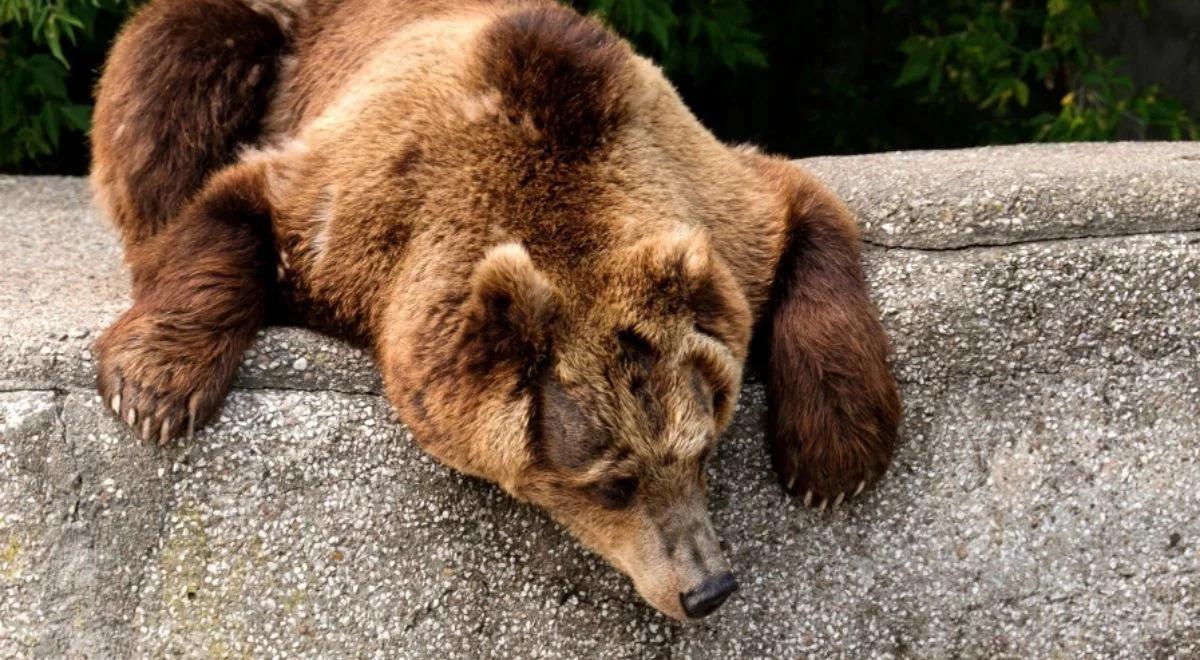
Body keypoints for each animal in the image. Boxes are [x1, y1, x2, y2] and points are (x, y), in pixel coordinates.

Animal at [91, 0, 902, 624]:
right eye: (612, 481)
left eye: (702, 448)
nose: (707, 588)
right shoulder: (362, 203)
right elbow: (237, 209)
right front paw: (152, 388)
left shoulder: (709, 196)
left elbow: (802, 211)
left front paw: (834, 455)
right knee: (172, 70)